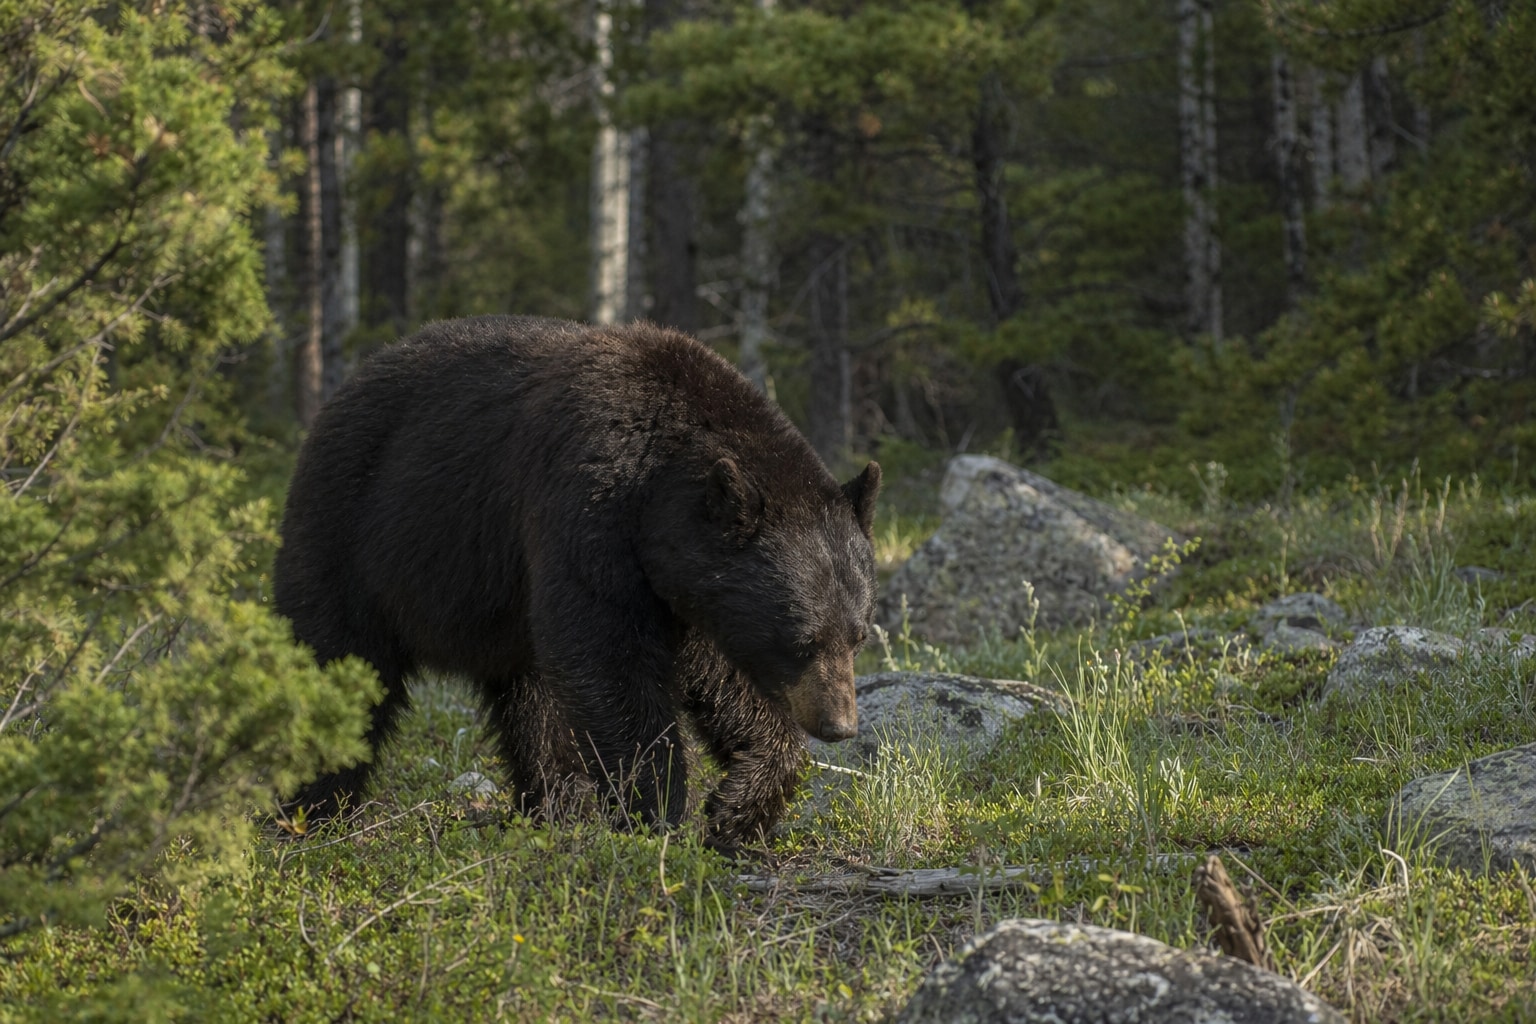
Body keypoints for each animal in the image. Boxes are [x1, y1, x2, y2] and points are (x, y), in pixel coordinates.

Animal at [273, 315, 880, 848]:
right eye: (800, 638)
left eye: (857, 636)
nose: (840, 726)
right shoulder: (588, 510)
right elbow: (609, 657)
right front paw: (657, 813)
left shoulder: (685, 584)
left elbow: (717, 674)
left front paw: (738, 807)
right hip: (350, 537)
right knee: (338, 665)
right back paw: (312, 814)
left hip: (501, 616)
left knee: (532, 705)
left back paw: (555, 806)